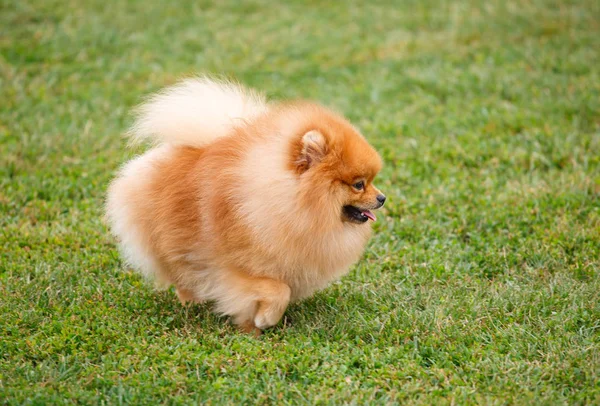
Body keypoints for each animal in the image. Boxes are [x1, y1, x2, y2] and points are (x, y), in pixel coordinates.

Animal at [107, 77, 386, 334]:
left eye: (371, 181)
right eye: (359, 184)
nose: (382, 198)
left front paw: (255, 325)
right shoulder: (234, 269)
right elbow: (277, 291)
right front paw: (262, 321)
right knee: (181, 275)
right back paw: (191, 302)